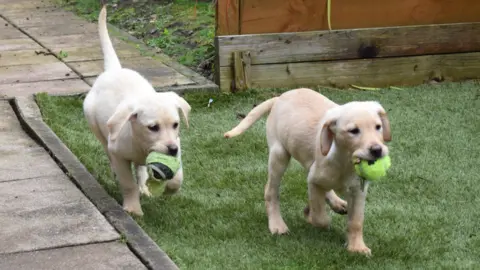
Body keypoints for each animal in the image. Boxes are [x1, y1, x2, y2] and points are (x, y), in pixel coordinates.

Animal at [83, 4, 190, 216]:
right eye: (153, 127)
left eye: (176, 124)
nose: (172, 150)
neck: (142, 145)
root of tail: (113, 70)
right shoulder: (117, 153)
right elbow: (127, 183)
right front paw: (133, 209)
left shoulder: (178, 142)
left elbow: (177, 176)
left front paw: (171, 188)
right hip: (95, 124)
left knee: (140, 170)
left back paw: (144, 188)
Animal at [224, 88, 390, 255]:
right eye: (353, 131)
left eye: (378, 127)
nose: (377, 150)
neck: (345, 161)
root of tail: (280, 97)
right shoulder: (314, 181)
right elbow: (320, 217)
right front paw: (309, 214)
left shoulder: (358, 191)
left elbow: (356, 221)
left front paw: (357, 247)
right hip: (279, 155)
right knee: (271, 191)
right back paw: (277, 225)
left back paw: (336, 203)